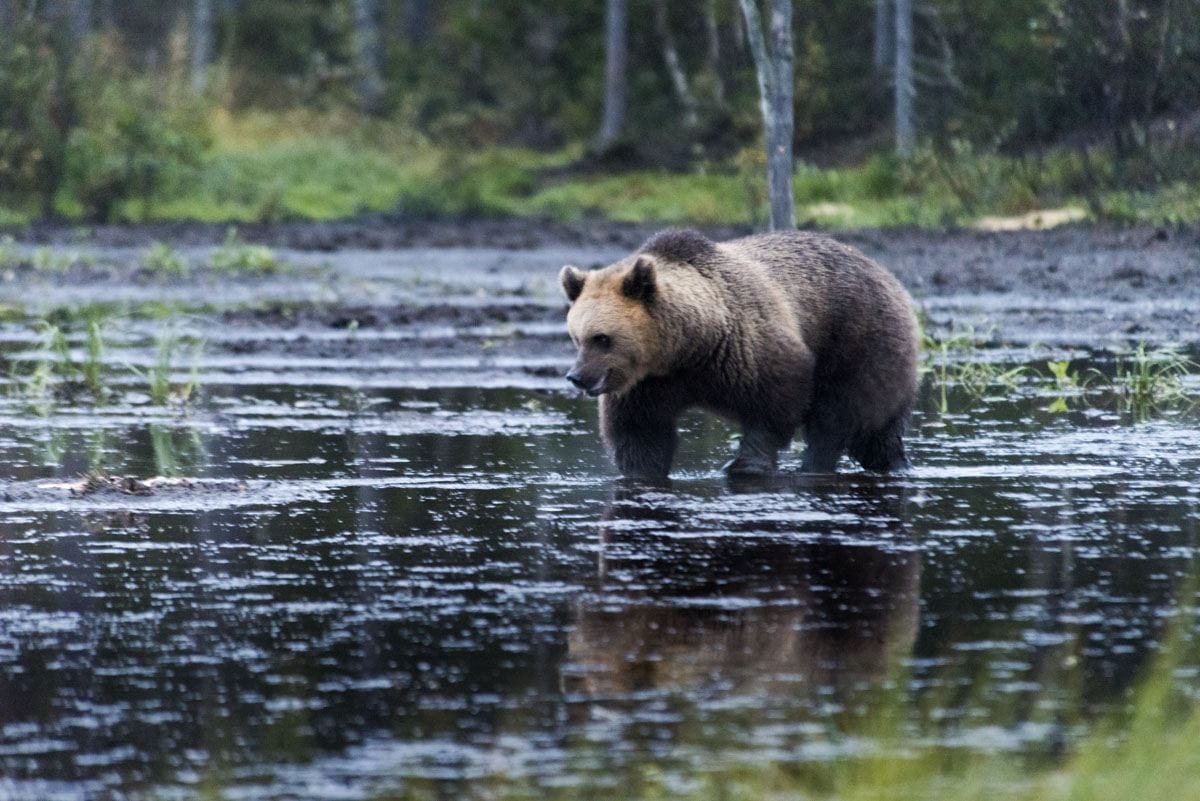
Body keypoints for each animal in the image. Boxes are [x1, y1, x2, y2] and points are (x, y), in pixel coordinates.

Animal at [559, 228, 919, 479]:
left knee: (836, 416)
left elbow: (774, 400)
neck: (687, 348)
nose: (577, 377)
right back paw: (893, 462)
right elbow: (639, 430)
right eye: (576, 338)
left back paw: (818, 466)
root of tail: (886, 273)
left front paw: (745, 464)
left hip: (859, 340)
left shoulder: (744, 347)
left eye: (602, 338)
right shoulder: (647, 384)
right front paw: (640, 470)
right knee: (877, 431)